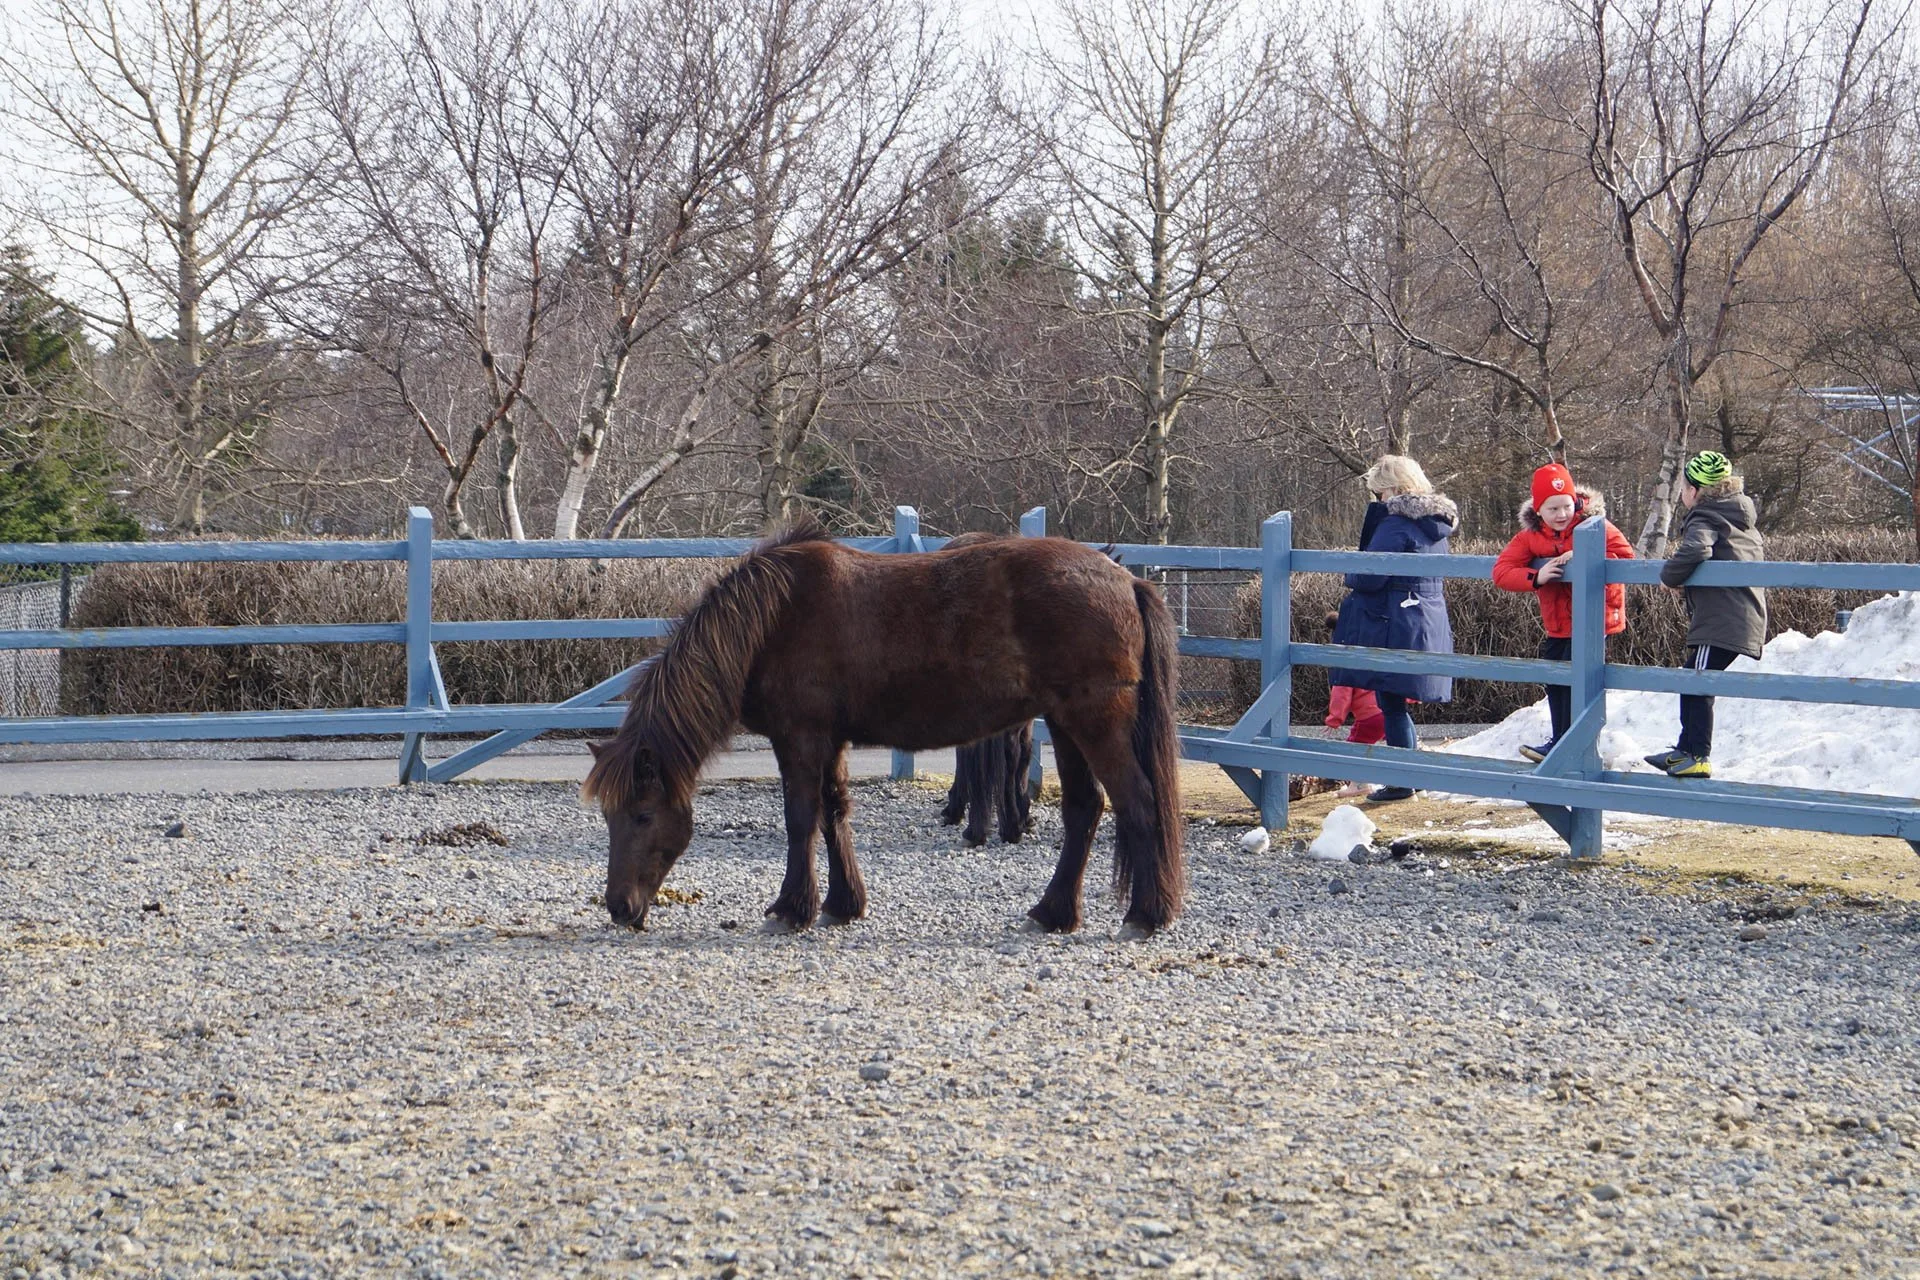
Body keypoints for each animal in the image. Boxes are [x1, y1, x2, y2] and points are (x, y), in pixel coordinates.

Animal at [582, 519, 1185, 935]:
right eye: (608, 816)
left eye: (641, 815)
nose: (619, 908)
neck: (773, 620)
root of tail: (1125, 579)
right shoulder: (829, 740)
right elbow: (834, 815)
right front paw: (842, 905)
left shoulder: (799, 739)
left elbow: (800, 820)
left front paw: (791, 909)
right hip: (1064, 724)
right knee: (1084, 809)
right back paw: (1053, 913)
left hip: (1094, 721)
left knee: (1136, 803)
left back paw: (1144, 915)